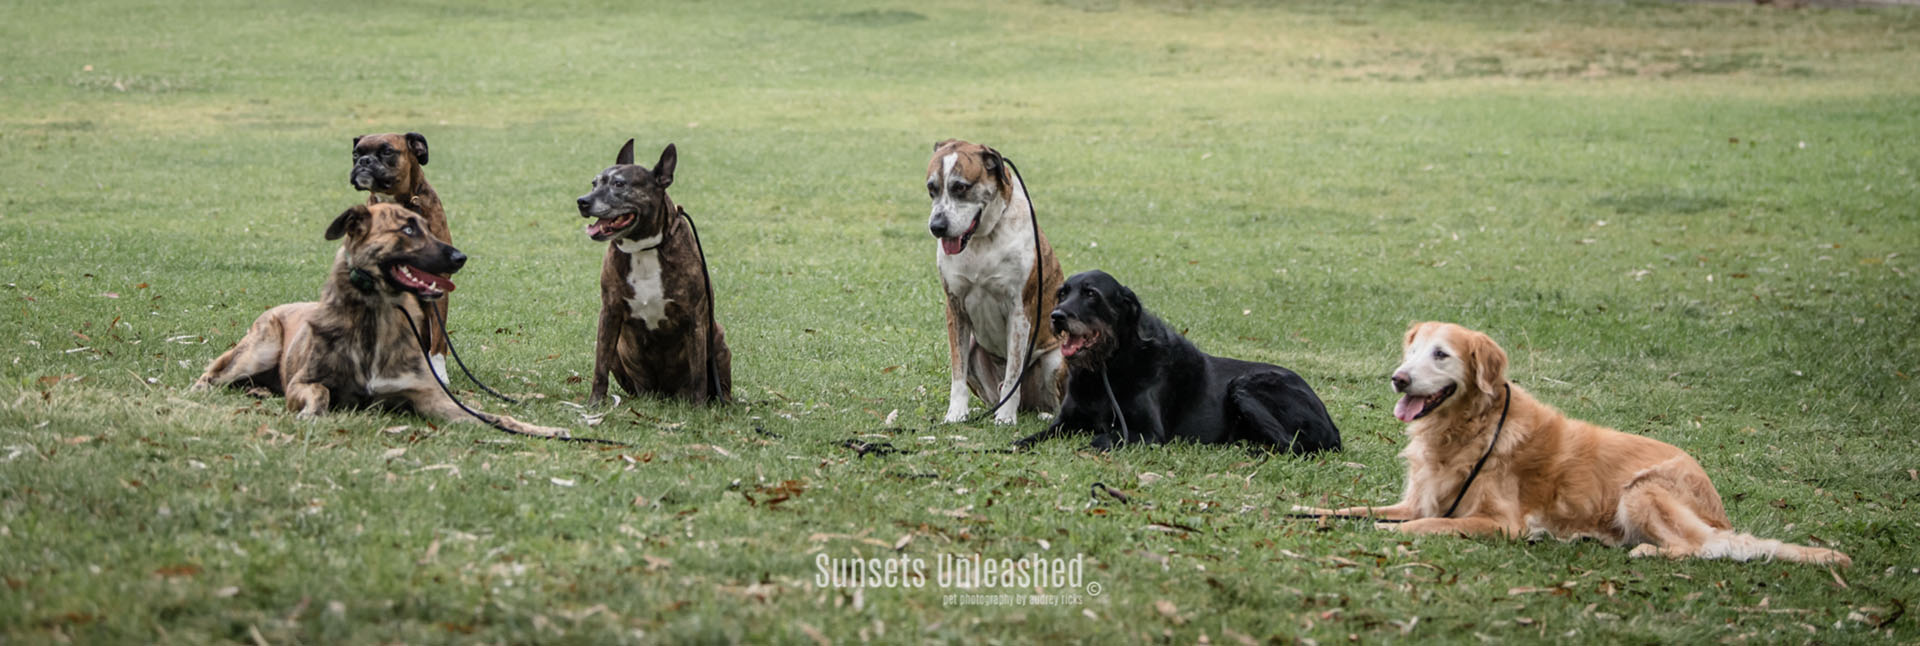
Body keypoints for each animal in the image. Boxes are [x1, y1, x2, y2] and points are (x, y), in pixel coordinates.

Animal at [194, 202, 568, 438]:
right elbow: (321, 393)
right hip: (257, 350)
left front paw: (542, 430)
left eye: (428, 227)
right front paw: (311, 414)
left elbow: (497, 416)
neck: (377, 317)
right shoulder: (303, 381)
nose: (460, 257)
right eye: (408, 229)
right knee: (210, 376)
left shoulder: (432, 398)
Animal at [572, 139, 729, 405]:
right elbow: (599, 366)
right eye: (594, 183)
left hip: (717, 337)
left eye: (619, 184)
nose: (583, 201)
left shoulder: (695, 319)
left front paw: (698, 409)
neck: (643, 249)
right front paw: (595, 403)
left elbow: (699, 372)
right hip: (620, 350)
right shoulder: (609, 313)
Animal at [925, 138, 1067, 426]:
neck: (982, 239)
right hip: (973, 346)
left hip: (1055, 358)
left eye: (961, 187)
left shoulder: (1020, 313)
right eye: (931, 189)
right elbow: (957, 373)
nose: (937, 226)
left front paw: (1005, 416)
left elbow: (1014, 372)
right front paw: (956, 412)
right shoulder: (955, 308)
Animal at [1297, 323, 1850, 565]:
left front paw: (1386, 535)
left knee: (1703, 548)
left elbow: (1430, 525)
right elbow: (1358, 508)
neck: (1467, 430)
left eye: (1441, 355)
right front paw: (1309, 510)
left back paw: (1648, 551)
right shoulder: (1415, 499)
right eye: (1412, 351)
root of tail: (1715, 501)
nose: (1399, 378)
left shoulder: (1499, 523)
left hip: (1643, 490)